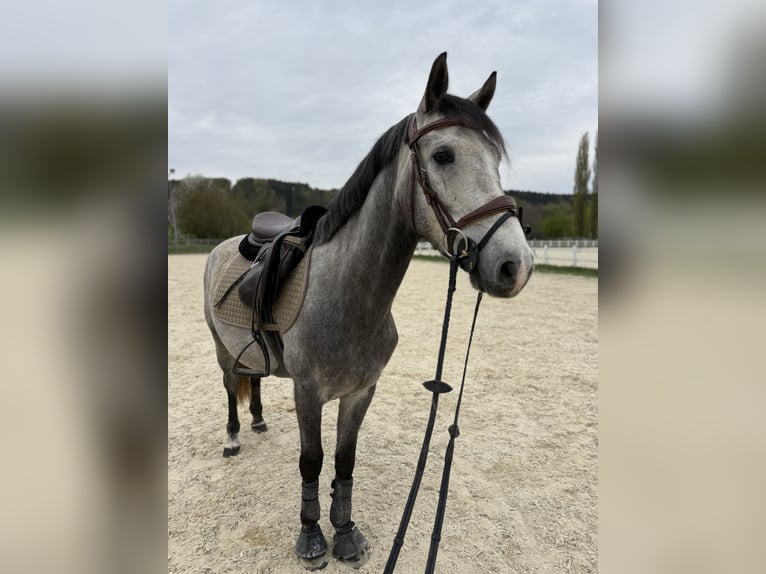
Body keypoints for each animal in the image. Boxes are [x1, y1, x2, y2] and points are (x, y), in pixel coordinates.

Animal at [203, 52, 534, 569]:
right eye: (443, 155)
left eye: (496, 161)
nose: (514, 265)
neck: (348, 295)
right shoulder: (308, 394)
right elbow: (312, 462)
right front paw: (312, 538)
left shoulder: (361, 392)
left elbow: (344, 460)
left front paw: (344, 534)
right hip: (221, 349)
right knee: (228, 384)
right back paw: (234, 436)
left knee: (252, 379)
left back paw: (256, 421)